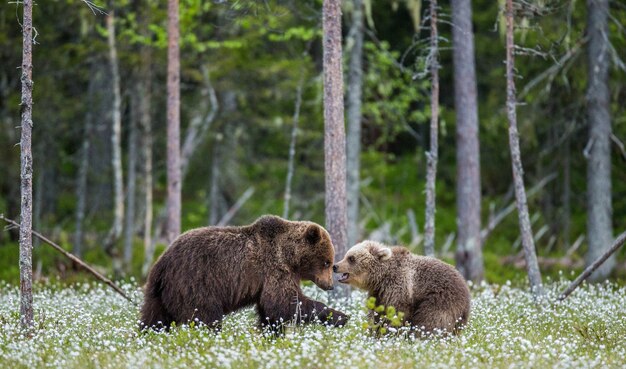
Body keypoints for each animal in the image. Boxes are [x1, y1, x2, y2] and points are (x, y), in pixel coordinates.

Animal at [140, 214, 348, 330]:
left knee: (153, 319)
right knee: (205, 317)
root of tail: (162, 262)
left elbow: (271, 312)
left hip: (159, 293)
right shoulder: (275, 268)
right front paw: (340, 316)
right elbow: (285, 303)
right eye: (327, 262)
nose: (329, 285)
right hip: (196, 282)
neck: (290, 257)